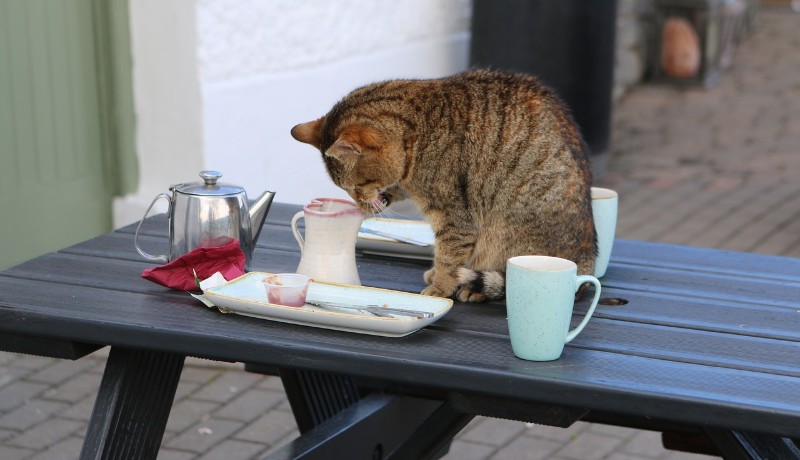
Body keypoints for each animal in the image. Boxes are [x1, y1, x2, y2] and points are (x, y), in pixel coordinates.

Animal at [290, 69, 596, 302]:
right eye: (346, 189)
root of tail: (587, 259)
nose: (360, 204)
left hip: (506, 232)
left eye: (357, 185)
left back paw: (474, 289)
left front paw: (440, 286)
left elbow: (449, 257)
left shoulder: (454, 218)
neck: (418, 132)